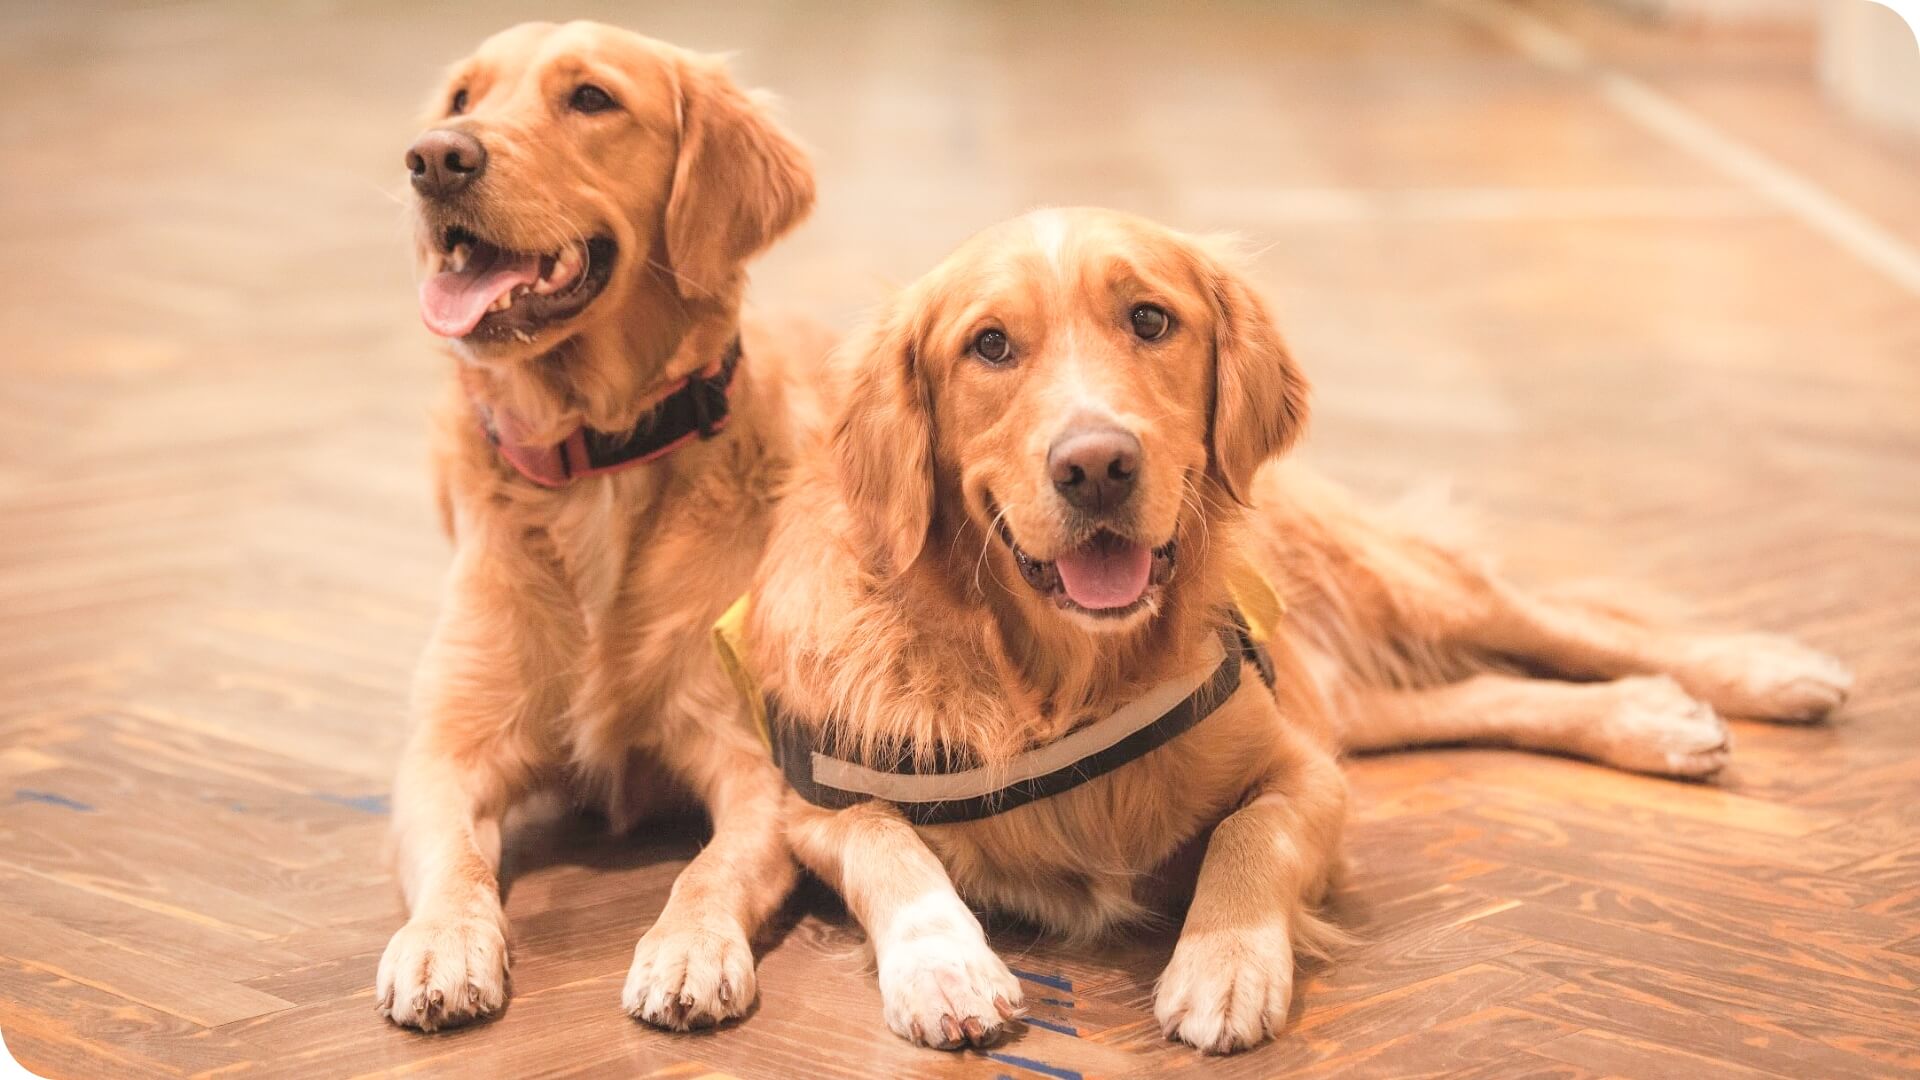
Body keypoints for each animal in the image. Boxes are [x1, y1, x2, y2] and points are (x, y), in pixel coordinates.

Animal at [378, 21, 821, 1030]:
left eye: (591, 99)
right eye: (461, 99)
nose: (434, 160)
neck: (594, 462)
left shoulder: (755, 764)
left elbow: (708, 868)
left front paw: (690, 949)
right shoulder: (443, 752)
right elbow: (455, 861)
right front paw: (440, 944)